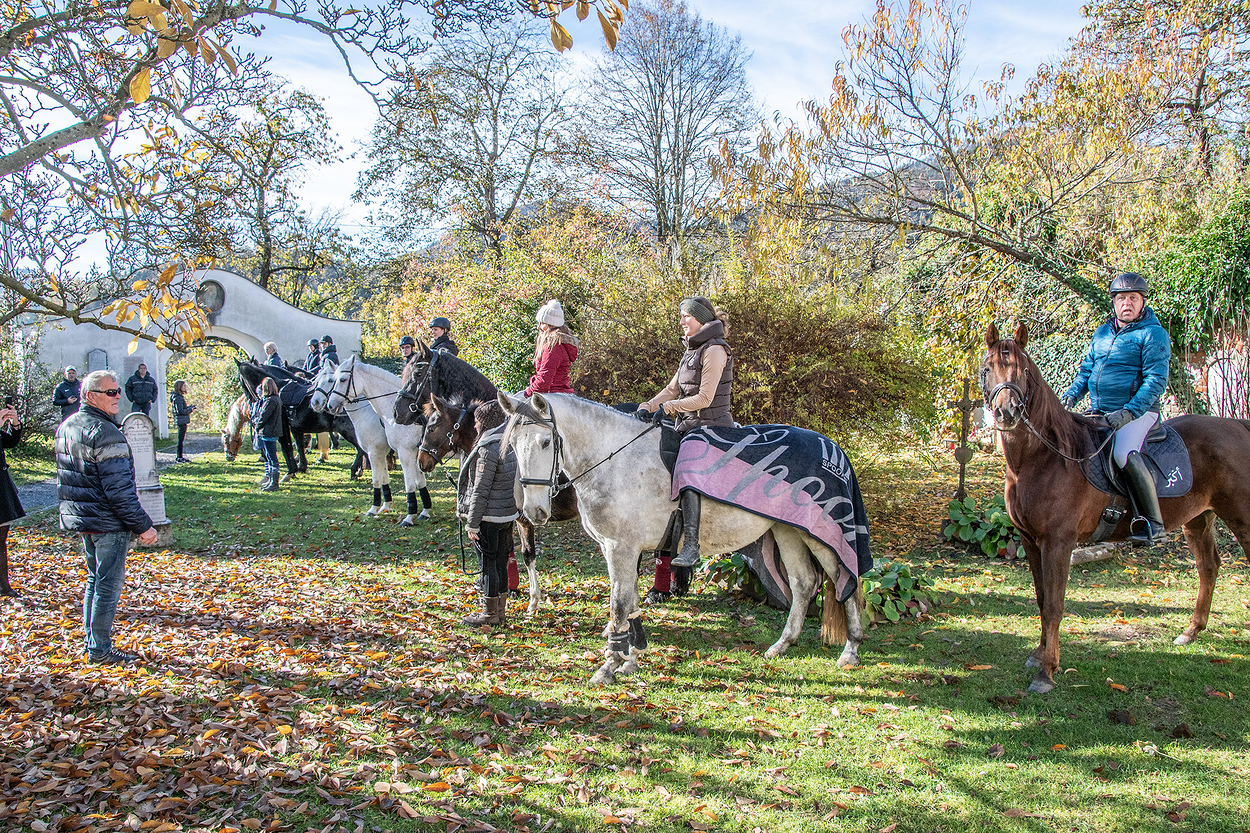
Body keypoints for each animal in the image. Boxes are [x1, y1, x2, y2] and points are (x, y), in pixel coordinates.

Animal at [315, 355, 432, 526]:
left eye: (339, 380)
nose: (324, 404)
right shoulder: (390, 452)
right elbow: (394, 480)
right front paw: (420, 510)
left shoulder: (394, 452)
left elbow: (387, 481)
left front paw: (406, 516)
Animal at [418, 393, 581, 615]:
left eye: (432, 428)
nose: (421, 460)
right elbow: (519, 553)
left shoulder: (518, 519)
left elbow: (519, 553)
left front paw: (527, 596)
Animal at [499, 392, 865, 686]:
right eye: (513, 446)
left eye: (546, 443)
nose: (533, 511)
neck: (616, 461)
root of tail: (833, 448)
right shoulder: (618, 548)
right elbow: (630, 602)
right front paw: (631, 659)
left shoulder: (621, 548)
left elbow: (619, 605)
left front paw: (610, 665)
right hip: (787, 530)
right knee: (803, 583)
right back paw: (782, 645)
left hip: (823, 536)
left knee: (845, 581)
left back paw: (851, 650)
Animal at [980, 322, 1250, 693]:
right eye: (988, 368)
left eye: (1023, 370)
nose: (1007, 413)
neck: (1042, 459)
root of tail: (1237, 424)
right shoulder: (1030, 540)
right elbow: (1041, 598)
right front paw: (1039, 656)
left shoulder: (1058, 542)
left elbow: (1054, 604)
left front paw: (1046, 672)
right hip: (1198, 520)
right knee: (1208, 567)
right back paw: (1191, 632)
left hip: (1241, 516)